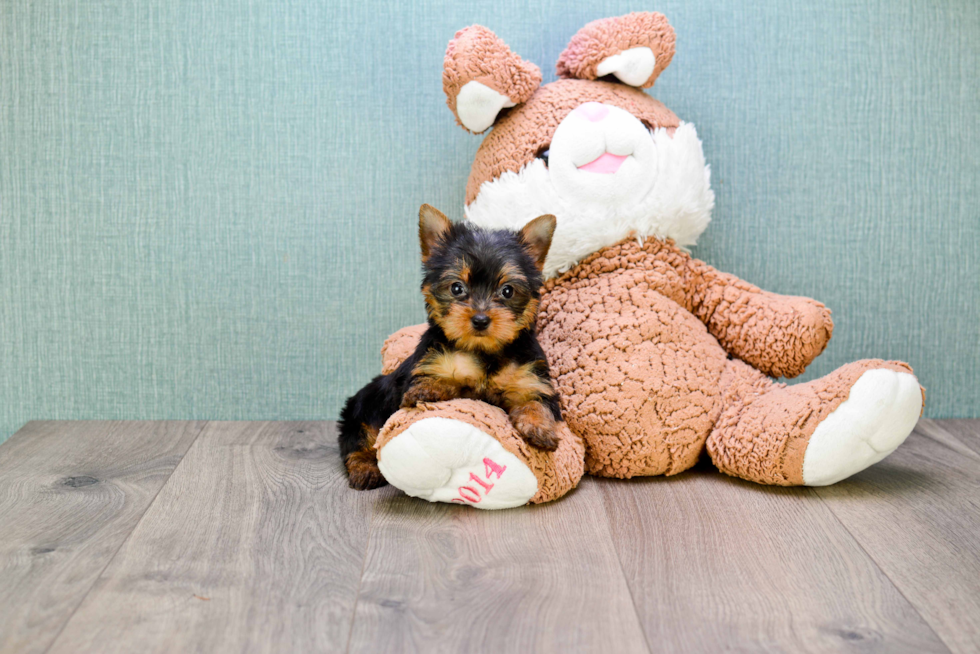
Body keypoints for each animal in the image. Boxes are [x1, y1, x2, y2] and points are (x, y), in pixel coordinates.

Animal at [340, 208, 560, 490]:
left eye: (507, 291)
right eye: (457, 288)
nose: (480, 319)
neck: (482, 350)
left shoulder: (531, 379)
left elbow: (535, 401)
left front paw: (539, 427)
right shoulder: (427, 367)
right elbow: (457, 384)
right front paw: (430, 389)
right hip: (363, 407)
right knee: (358, 439)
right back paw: (364, 468)